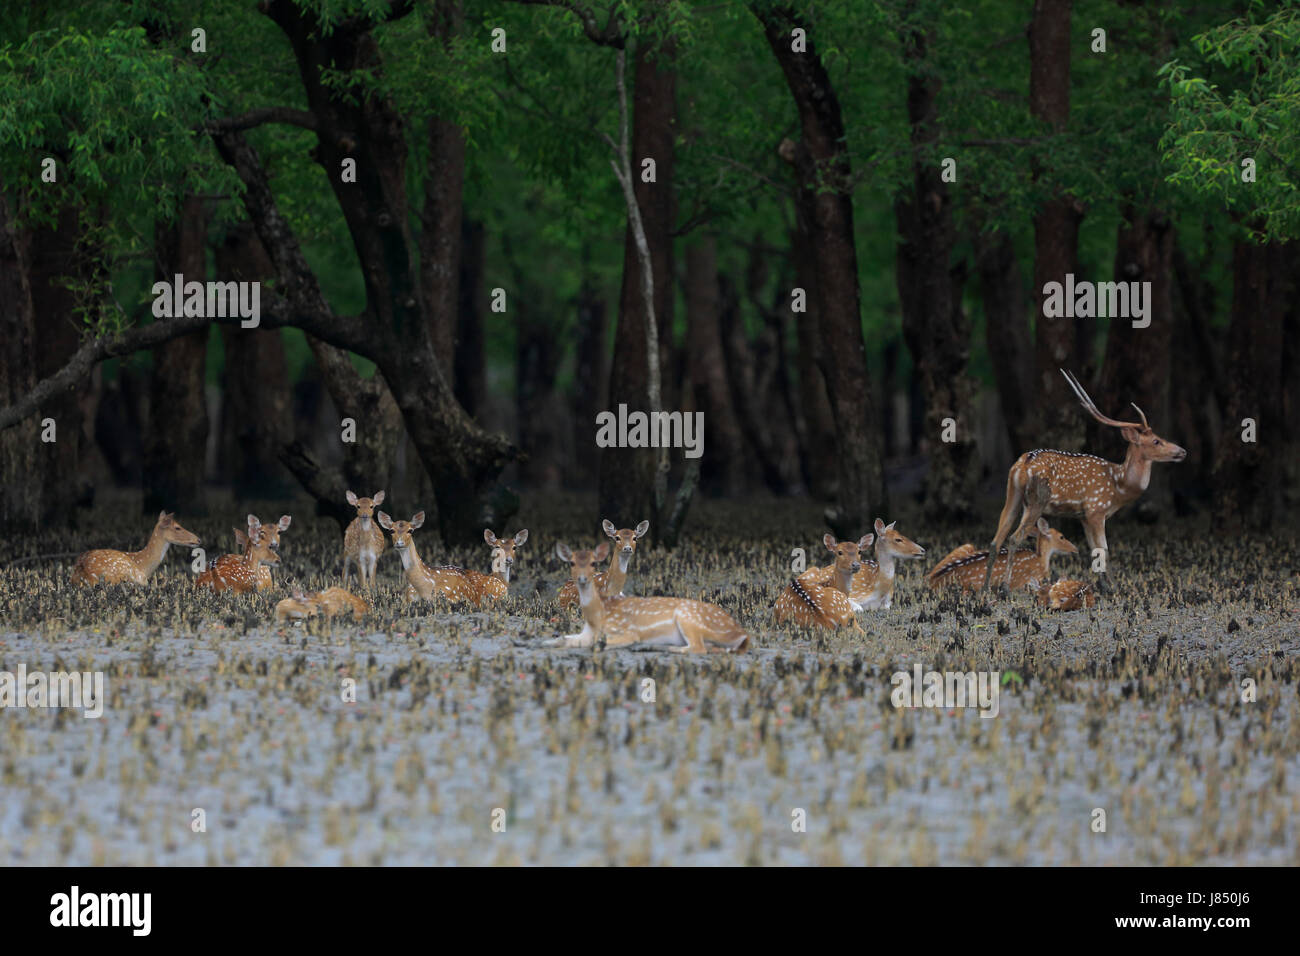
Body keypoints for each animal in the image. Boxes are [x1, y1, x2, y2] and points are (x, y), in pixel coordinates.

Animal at [983, 369, 1187, 591]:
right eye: (1157, 441)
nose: (1182, 451)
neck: (1119, 486)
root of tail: (1022, 465)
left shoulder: (1083, 515)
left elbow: (1093, 550)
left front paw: (1103, 585)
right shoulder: (1096, 509)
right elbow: (1105, 550)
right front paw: (1115, 588)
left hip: (1013, 494)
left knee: (995, 540)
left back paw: (985, 588)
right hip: (1037, 499)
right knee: (1013, 538)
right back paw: (1005, 588)